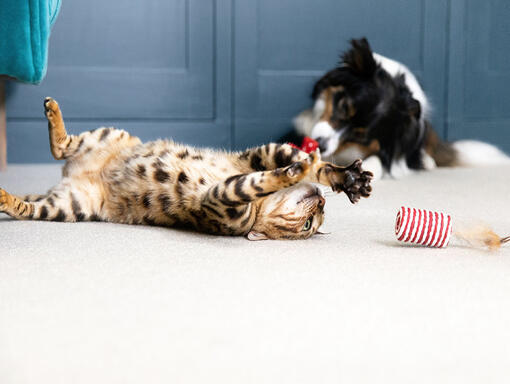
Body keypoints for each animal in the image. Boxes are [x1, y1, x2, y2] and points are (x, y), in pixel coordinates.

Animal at [0, 97, 374, 240]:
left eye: (310, 225)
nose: (322, 203)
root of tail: (68, 178)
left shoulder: (221, 199)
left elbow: (255, 182)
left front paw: (294, 173)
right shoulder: (259, 155)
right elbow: (305, 162)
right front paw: (345, 176)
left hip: (68, 207)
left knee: (29, 203)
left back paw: (5, 197)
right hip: (111, 134)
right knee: (61, 145)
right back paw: (53, 111)